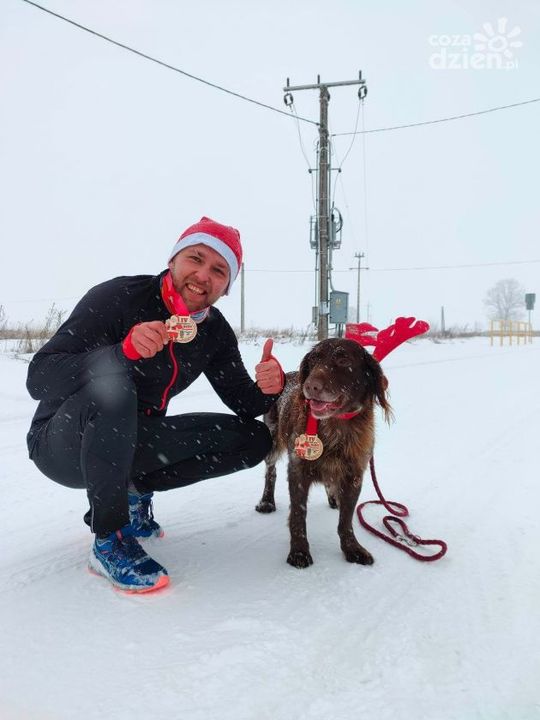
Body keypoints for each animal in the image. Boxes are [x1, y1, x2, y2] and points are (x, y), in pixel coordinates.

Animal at [256, 338, 391, 568]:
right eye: (313, 360)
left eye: (343, 360)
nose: (310, 386)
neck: (336, 427)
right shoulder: (298, 470)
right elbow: (298, 514)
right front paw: (299, 551)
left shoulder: (354, 474)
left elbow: (346, 520)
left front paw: (352, 548)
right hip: (273, 442)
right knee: (270, 472)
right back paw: (267, 502)